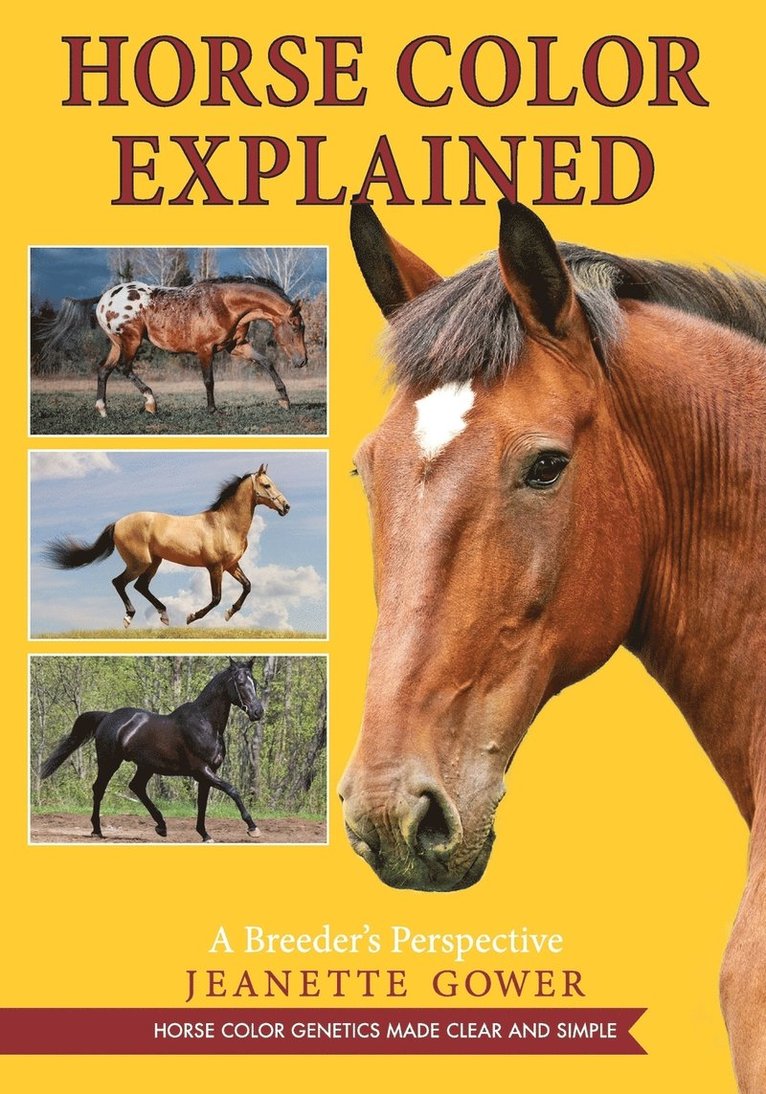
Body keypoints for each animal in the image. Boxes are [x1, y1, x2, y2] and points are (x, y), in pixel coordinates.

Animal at [39, 658, 263, 842]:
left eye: (255, 682)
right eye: (240, 683)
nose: (258, 712)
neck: (205, 724)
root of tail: (107, 716)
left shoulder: (207, 774)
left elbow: (202, 803)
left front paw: (205, 835)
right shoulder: (202, 770)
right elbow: (232, 790)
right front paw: (252, 828)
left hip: (145, 766)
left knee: (136, 787)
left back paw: (161, 826)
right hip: (109, 762)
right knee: (99, 789)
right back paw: (97, 830)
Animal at [40, 276, 307, 417]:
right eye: (296, 326)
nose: (302, 361)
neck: (224, 305)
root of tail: (105, 297)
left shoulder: (236, 346)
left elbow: (266, 362)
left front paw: (284, 400)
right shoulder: (205, 349)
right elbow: (209, 380)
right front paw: (212, 409)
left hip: (118, 343)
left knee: (104, 370)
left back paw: (103, 410)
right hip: (131, 340)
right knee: (124, 368)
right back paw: (150, 402)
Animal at [44, 466, 290, 627]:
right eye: (267, 485)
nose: (286, 507)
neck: (225, 524)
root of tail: (117, 523)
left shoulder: (231, 565)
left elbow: (247, 586)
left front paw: (230, 613)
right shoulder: (215, 567)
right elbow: (216, 598)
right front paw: (192, 617)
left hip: (154, 562)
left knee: (140, 586)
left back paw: (163, 615)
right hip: (140, 562)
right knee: (120, 582)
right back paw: (129, 617)